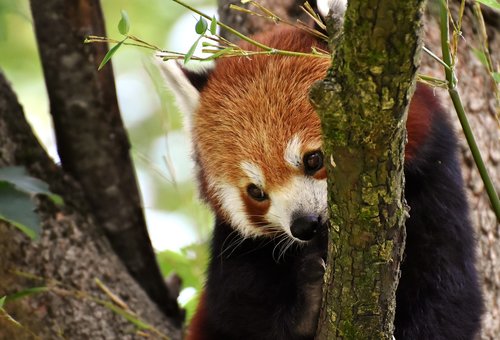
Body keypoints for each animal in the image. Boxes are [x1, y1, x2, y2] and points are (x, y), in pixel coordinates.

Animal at [162, 1, 482, 338]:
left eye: (313, 160)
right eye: (256, 192)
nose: (304, 225)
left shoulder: (435, 188)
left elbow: (448, 297)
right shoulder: (237, 250)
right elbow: (237, 312)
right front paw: (306, 306)